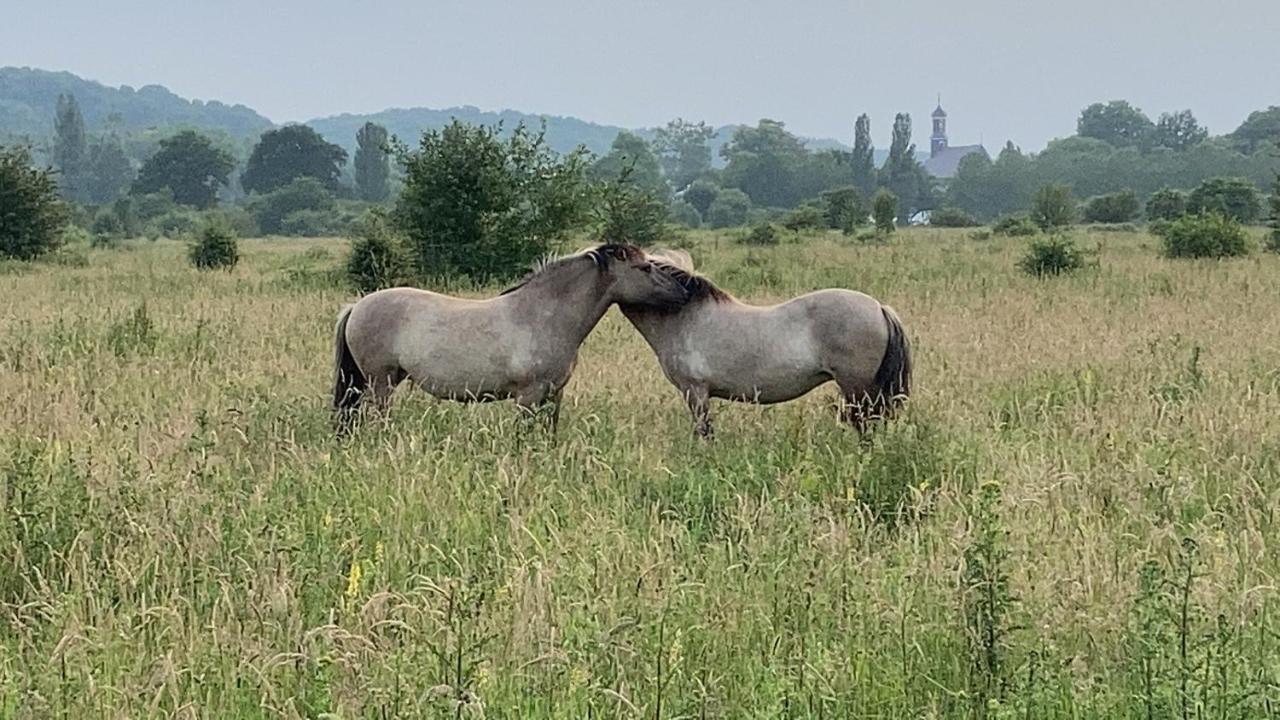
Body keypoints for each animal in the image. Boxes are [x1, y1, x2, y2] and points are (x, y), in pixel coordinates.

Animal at [335, 243, 686, 430]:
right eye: (644, 268)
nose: (682, 292)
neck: (544, 316)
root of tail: (356, 307)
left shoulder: (553, 395)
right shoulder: (528, 397)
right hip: (380, 383)